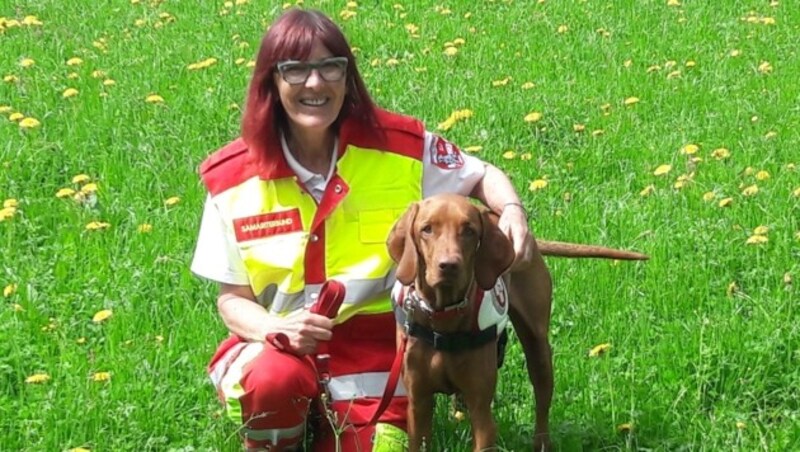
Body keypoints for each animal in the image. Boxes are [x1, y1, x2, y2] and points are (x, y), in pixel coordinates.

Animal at [384, 192, 648, 450]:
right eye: (427, 229)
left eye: (469, 230)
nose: (449, 266)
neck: (443, 316)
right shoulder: (418, 405)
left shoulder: (482, 413)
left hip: (537, 345)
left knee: (542, 400)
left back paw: (542, 442)